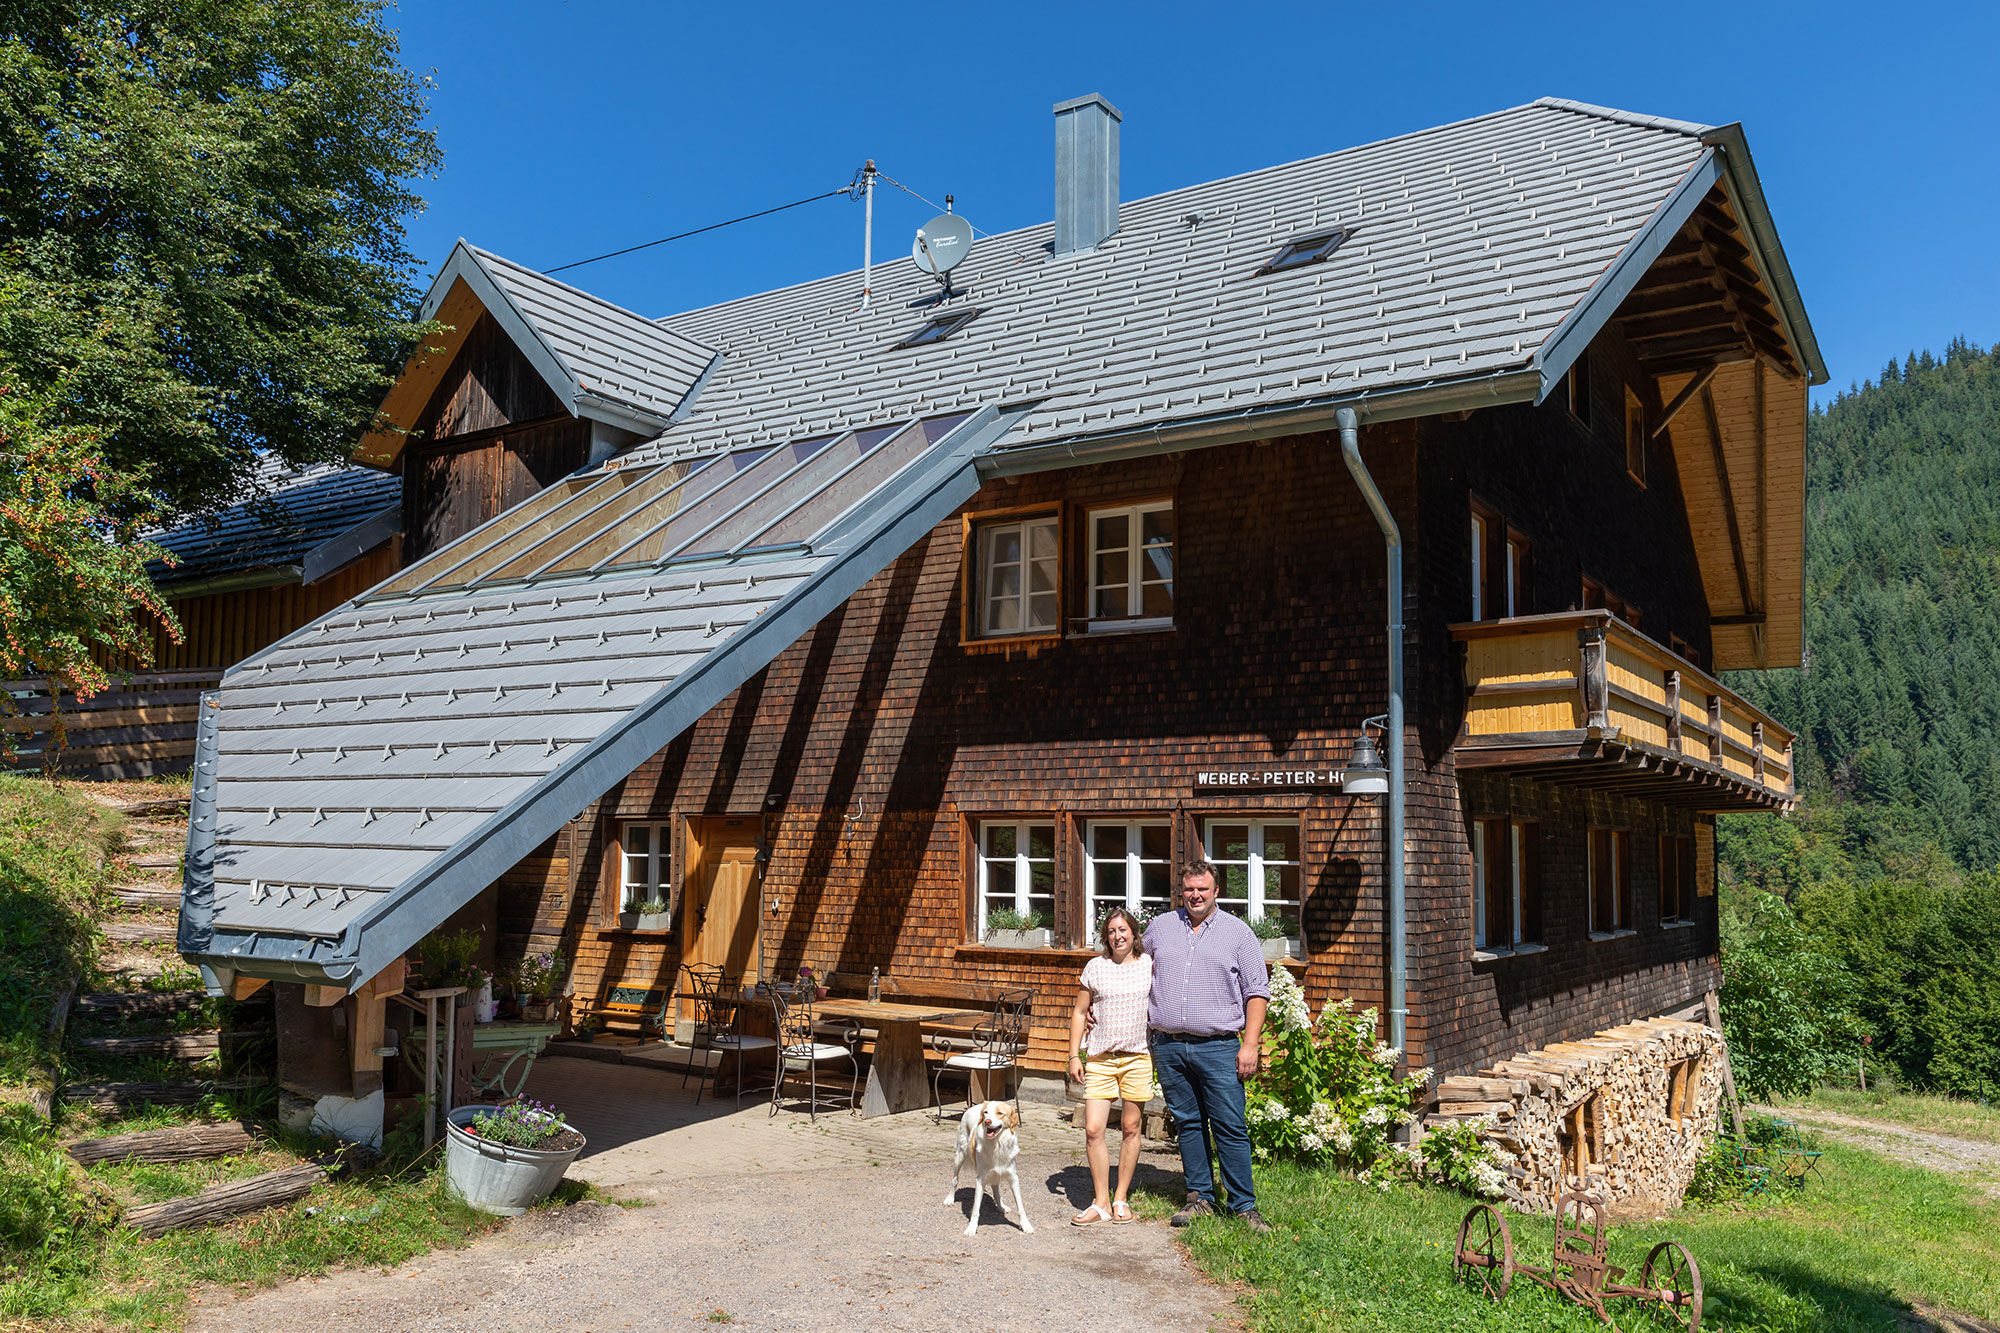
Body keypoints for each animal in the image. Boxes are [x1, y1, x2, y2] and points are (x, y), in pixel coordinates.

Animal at [940, 1096, 1032, 1232]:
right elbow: (976, 1208)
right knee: (955, 1180)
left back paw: (1001, 1206)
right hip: (959, 1157)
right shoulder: (980, 1179)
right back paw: (950, 1198)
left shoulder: (1013, 1178)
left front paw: (1026, 1225)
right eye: (986, 1113)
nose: (987, 1121)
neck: (997, 1144)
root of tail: (972, 1107)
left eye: (1000, 1113)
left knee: (996, 1190)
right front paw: (971, 1228)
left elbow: (1020, 1206)